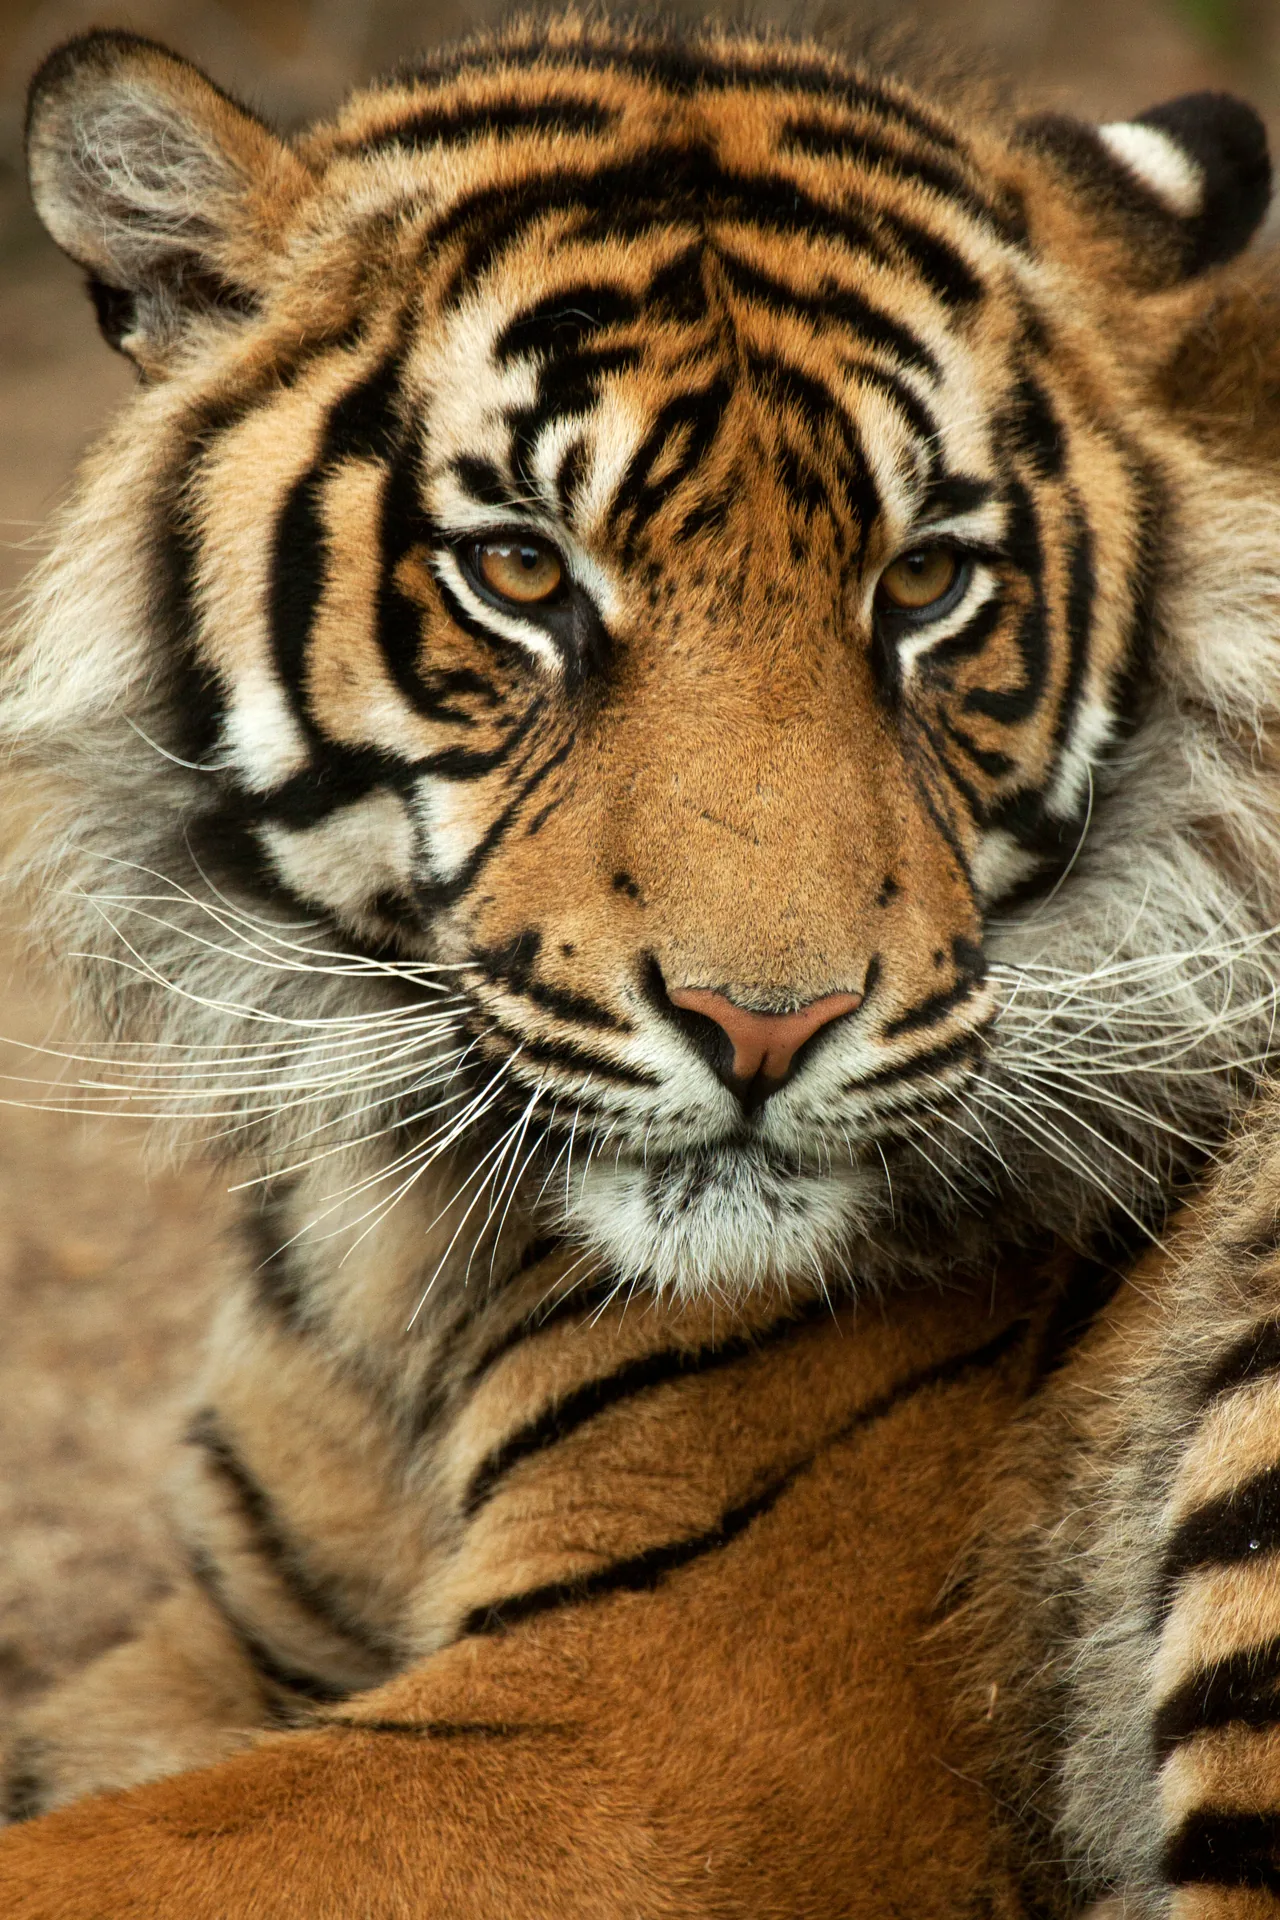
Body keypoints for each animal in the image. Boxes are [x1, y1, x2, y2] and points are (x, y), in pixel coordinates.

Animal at [5, 11, 1280, 1914]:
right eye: (523, 570)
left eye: (926, 582)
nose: (770, 1026)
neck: (394, 1256)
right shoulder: (231, 1630)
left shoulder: (641, 1731)